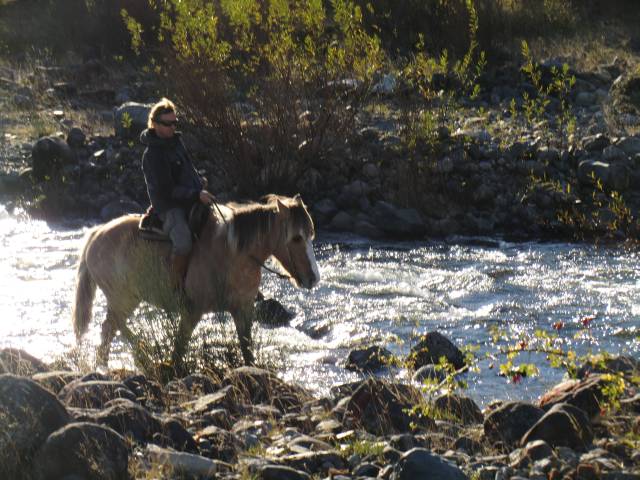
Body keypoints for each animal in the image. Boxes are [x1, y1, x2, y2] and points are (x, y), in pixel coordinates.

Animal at [72, 193, 320, 366]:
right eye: (296, 238)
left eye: (311, 234)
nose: (313, 278)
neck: (233, 253)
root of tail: (95, 235)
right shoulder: (192, 311)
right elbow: (179, 350)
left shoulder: (243, 310)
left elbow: (247, 350)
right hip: (123, 298)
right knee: (112, 326)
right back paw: (140, 353)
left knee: (111, 328)